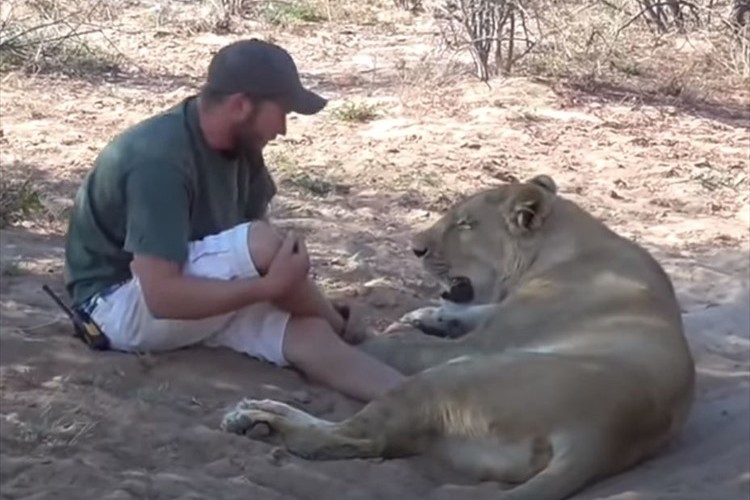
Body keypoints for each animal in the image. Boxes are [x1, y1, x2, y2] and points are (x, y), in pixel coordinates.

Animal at [219, 174, 700, 500]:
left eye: (465, 224)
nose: (415, 248)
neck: (563, 247)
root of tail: (600, 436)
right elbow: (472, 310)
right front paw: (430, 314)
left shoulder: (484, 344)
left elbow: (397, 346)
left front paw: (363, 332)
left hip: (455, 375)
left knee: (351, 439)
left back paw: (260, 415)